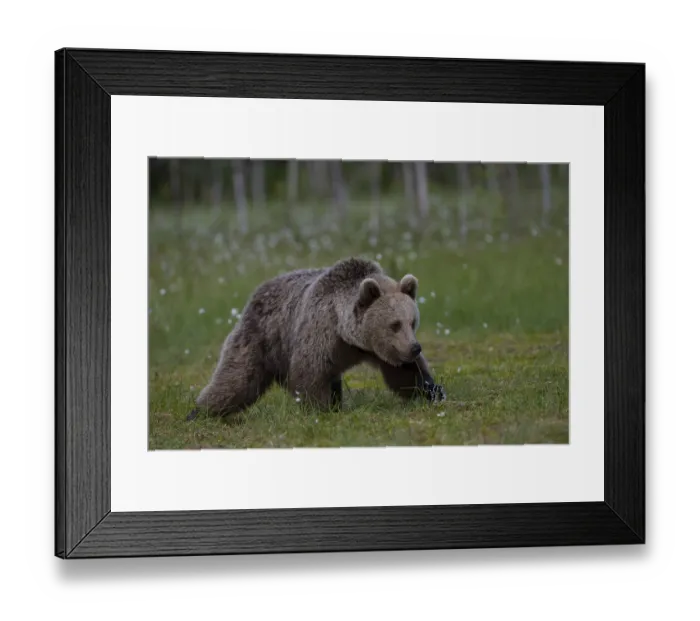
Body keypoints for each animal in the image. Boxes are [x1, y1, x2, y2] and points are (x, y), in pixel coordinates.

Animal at [187, 257, 446, 421]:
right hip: (261, 337)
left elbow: (405, 374)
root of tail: (258, 290)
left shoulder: (379, 350)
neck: (350, 336)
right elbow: (310, 375)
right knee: (237, 378)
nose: (415, 347)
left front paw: (433, 391)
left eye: (412, 322)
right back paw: (199, 412)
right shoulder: (320, 333)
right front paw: (319, 411)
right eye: (394, 324)